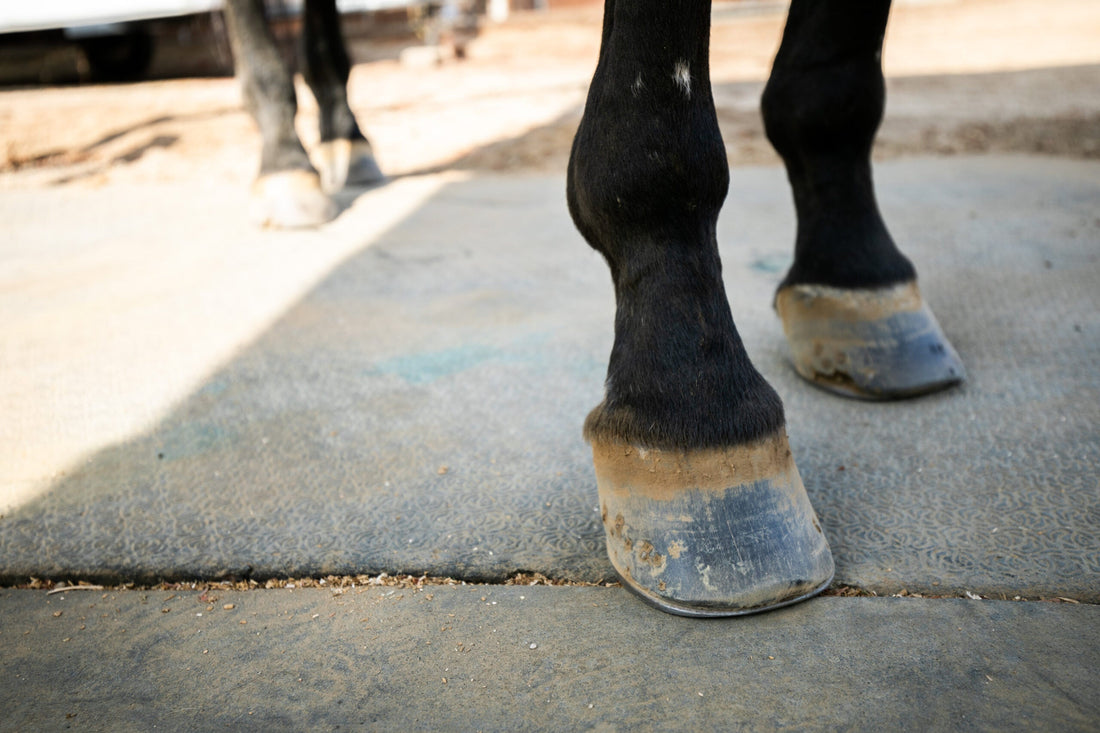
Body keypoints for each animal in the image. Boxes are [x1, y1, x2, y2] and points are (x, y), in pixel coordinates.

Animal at [224, 0, 965, 616]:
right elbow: (659, 149)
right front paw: (698, 415)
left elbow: (833, 88)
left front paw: (859, 279)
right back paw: (289, 167)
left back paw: (346, 142)